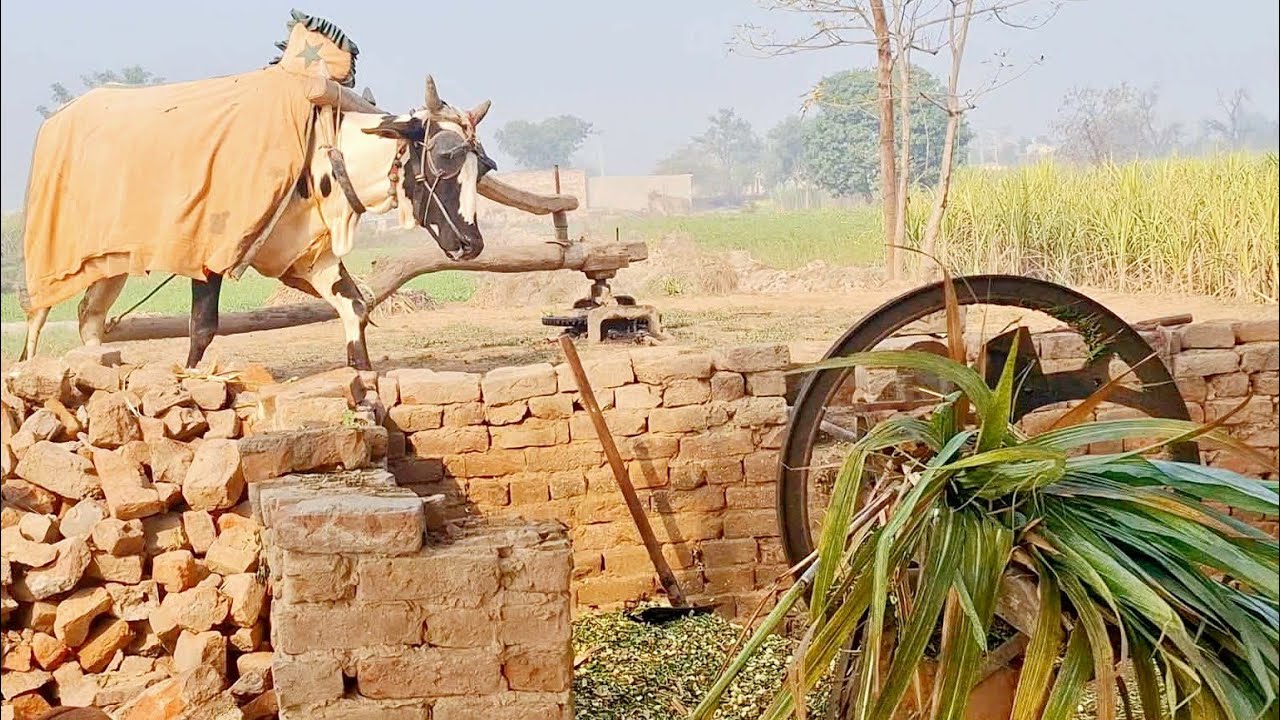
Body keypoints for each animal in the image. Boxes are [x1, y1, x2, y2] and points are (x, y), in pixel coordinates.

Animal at [20, 76, 494, 371]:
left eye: (483, 166)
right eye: (445, 157)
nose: (472, 244)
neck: (320, 154)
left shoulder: (312, 259)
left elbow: (356, 309)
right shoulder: (209, 257)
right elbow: (202, 330)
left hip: (111, 262)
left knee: (89, 317)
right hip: (55, 260)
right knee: (37, 319)